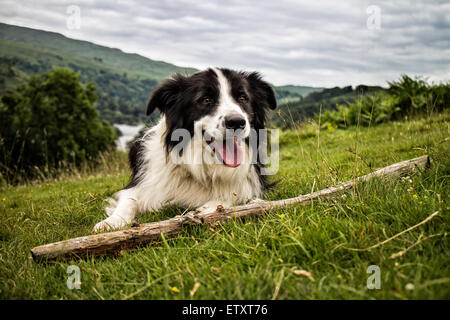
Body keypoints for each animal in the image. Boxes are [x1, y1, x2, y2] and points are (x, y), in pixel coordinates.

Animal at [93, 68, 276, 232]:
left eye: (243, 98)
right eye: (206, 100)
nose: (237, 122)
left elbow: (233, 197)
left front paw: (208, 208)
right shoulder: (142, 184)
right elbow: (128, 200)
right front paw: (111, 222)